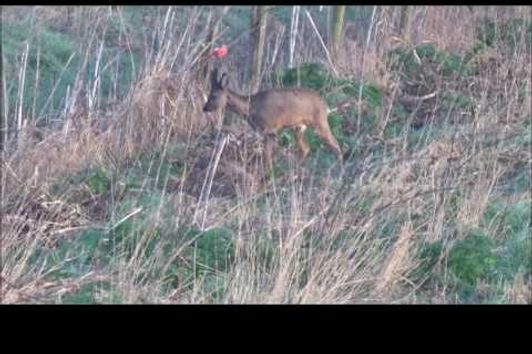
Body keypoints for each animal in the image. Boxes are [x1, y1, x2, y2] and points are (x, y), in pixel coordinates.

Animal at [202, 68, 342, 171]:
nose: (204, 108)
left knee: (335, 144)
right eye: (208, 94)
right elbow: (267, 154)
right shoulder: (266, 132)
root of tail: (325, 105)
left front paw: (268, 174)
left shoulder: (270, 130)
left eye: (213, 96)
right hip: (299, 127)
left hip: (320, 121)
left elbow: (267, 155)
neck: (251, 108)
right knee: (306, 149)